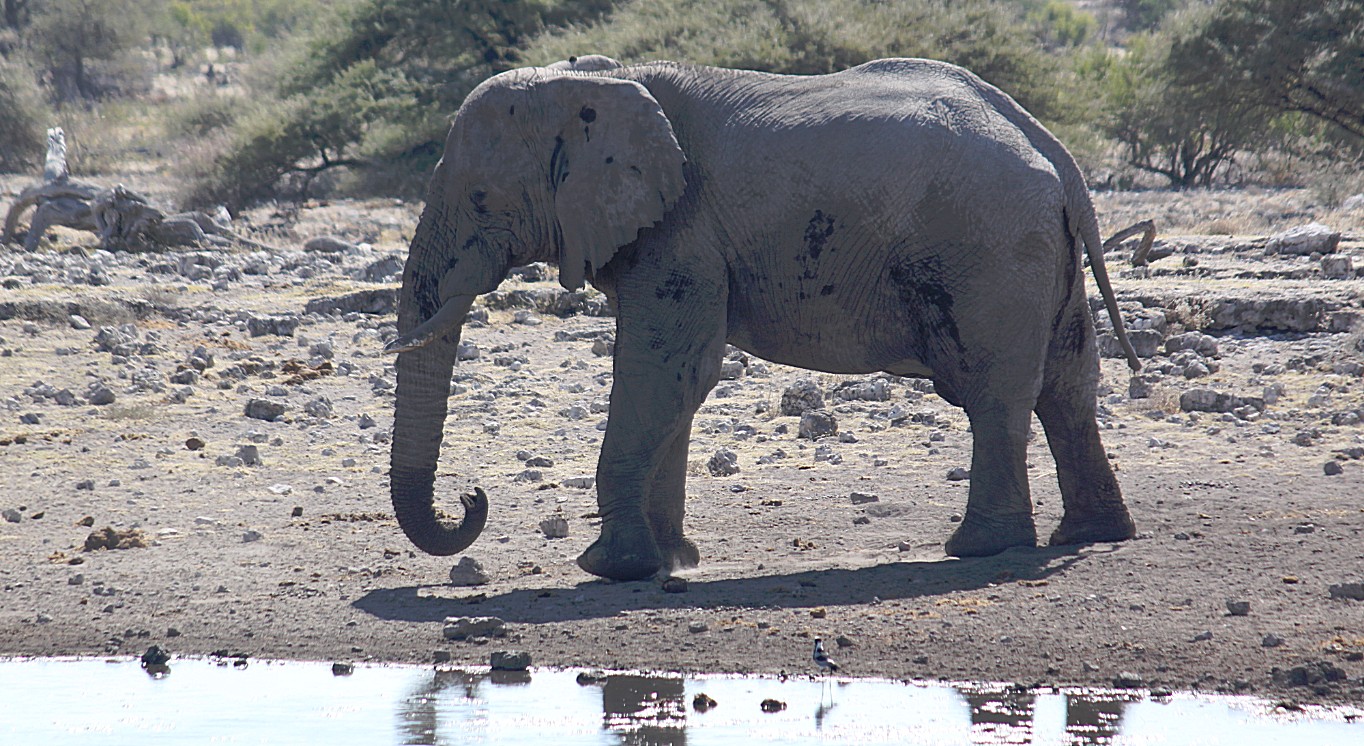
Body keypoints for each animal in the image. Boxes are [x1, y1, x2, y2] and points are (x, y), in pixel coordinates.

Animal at [384, 58, 1140, 583]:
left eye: (481, 198)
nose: (471, 497)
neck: (593, 79)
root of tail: (1054, 150)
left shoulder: (682, 233)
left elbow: (665, 372)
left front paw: (609, 567)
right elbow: (677, 383)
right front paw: (673, 561)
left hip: (989, 250)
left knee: (994, 393)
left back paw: (982, 547)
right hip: (1039, 252)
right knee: (1067, 386)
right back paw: (1089, 537)